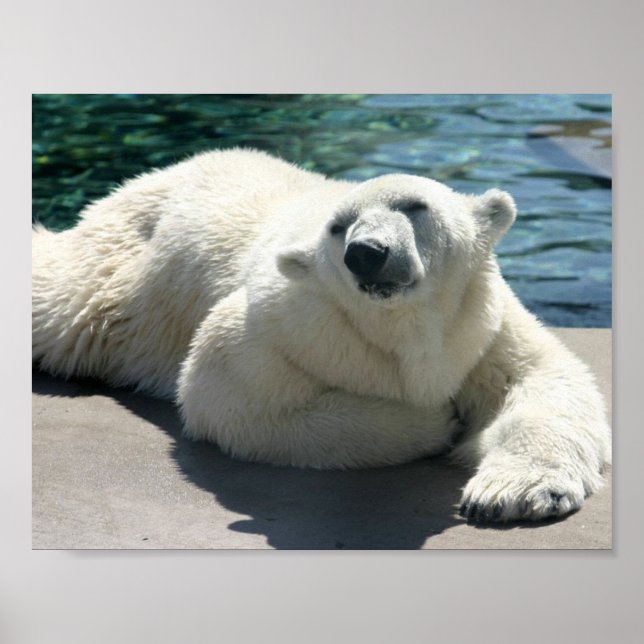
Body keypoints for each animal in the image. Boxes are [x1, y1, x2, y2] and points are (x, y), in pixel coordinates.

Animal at [32, 148, 611, 523]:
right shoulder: (290, 322)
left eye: (415, 207)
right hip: (121, 276)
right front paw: (435, 420)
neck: (401, 325)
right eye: (338, 227)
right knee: (59, 299)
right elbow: (231, 395)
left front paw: (513, 493)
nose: (367, 252)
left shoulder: (480, 328)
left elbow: (543, 380)